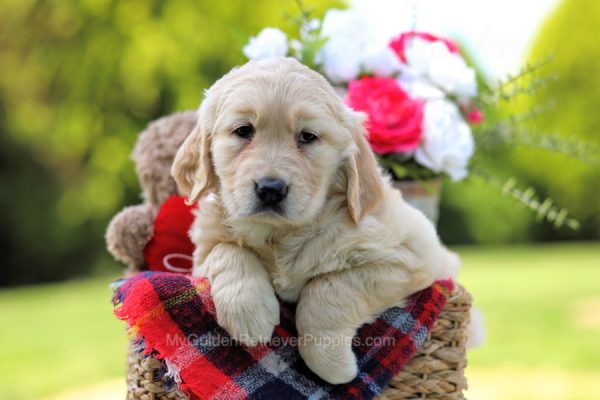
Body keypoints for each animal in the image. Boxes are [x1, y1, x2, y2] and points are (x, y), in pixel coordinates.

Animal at [171, 57, 458, 384]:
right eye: (243, 130)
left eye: (307, 136)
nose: (270, 189)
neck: (280, 235)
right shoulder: (202, 250)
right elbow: (226, 250)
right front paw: (248, 311)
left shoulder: (412, 255)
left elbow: (327, 288)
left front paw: (332, 365)